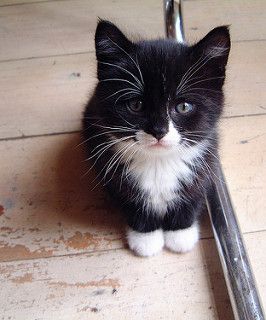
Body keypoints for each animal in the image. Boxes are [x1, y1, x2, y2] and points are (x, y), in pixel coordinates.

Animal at [82, 20, 230, 256]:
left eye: (183, 106)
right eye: (136, 105)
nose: (159, 130)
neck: (158, 163)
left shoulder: (208, 160)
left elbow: (195, 192)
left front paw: (180, 233)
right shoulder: (110, 170)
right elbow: (129, 200)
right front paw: (146, 238)